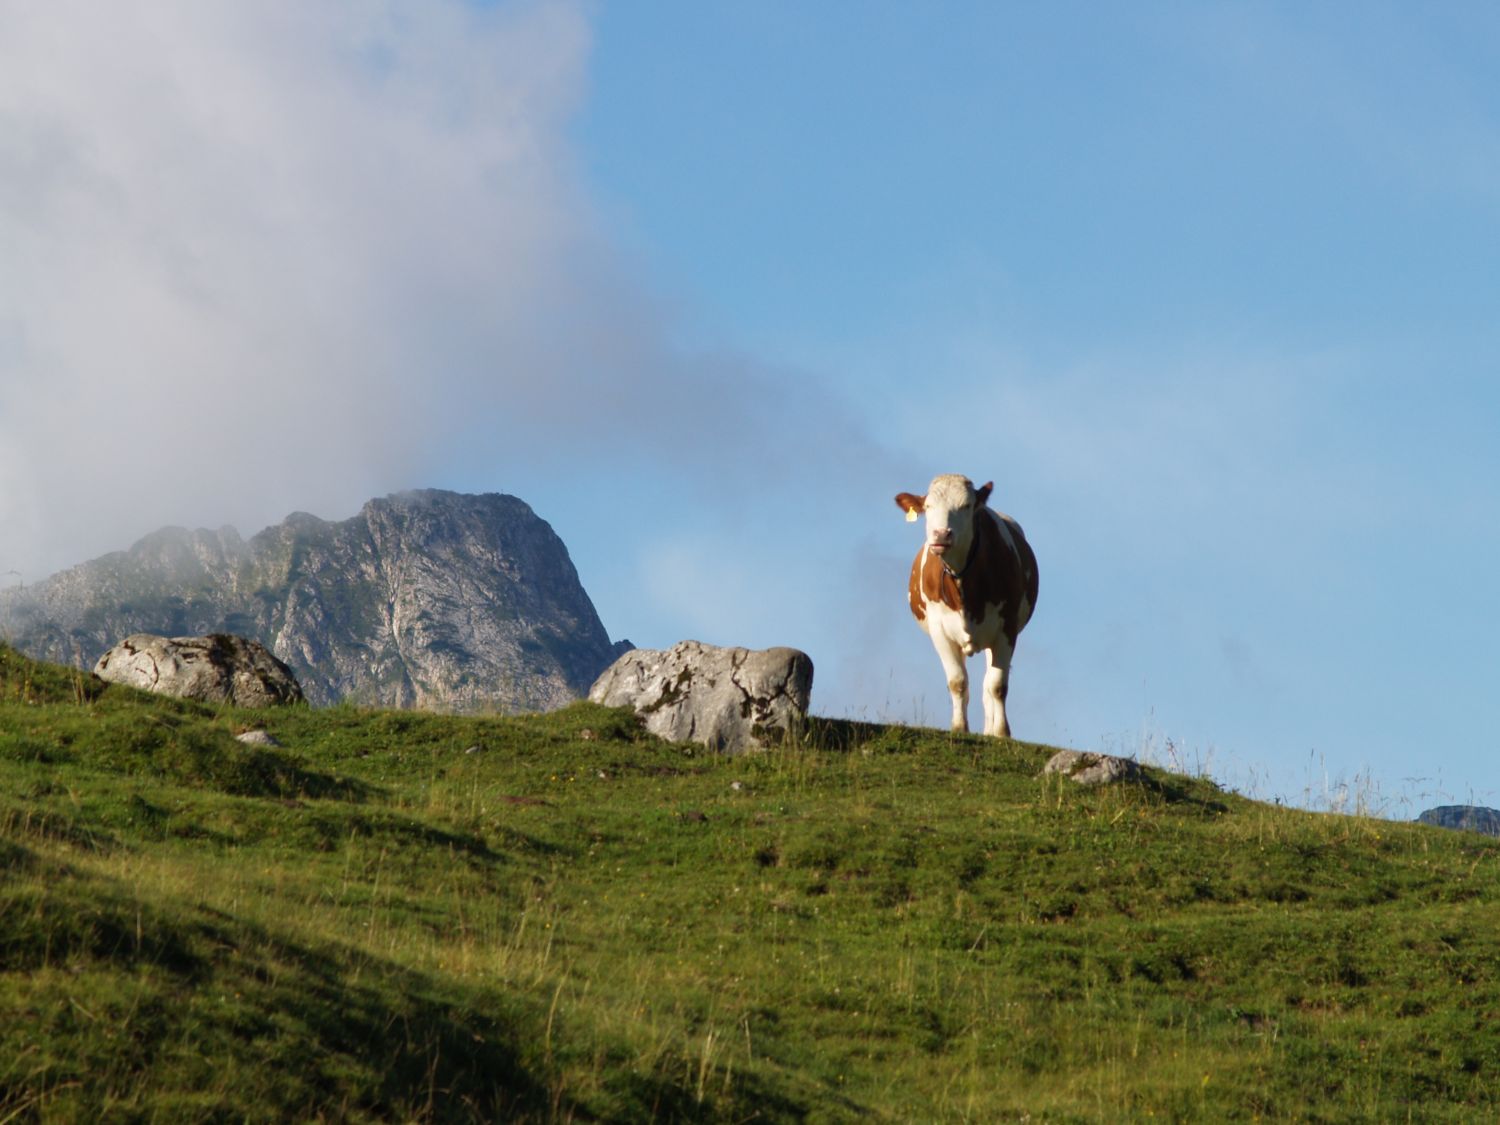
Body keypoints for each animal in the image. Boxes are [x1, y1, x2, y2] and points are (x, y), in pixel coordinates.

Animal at [894, 474, 1038, 741]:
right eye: (928, 506)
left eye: (966, 506)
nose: (941, 534)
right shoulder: (940, 630)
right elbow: (957, 681)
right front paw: (959, 728)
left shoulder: (1006, 628)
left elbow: (997, 685)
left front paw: (1001, 733)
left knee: (987, 685)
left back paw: (990, 730)